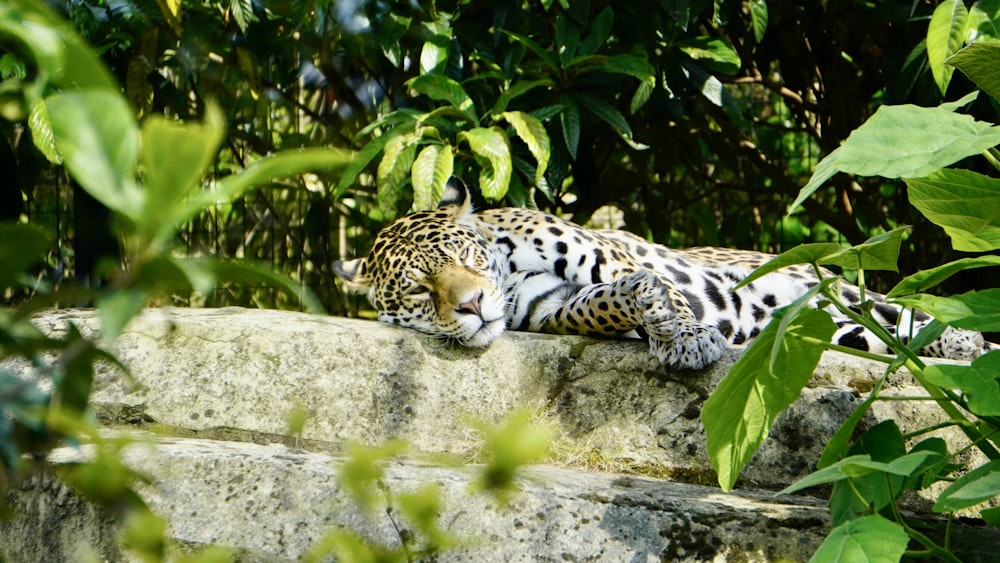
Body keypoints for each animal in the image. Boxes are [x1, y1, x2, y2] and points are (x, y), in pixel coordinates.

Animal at [332, 177, 988, 370]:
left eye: (464, 261)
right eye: (421, 290)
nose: (472, 305)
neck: (507, 269)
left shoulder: (611, 256)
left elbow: (656, 287)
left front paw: (689, 336)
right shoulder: (554, 309)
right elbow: (613, 300)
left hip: (829, 287)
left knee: (904, 314)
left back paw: (965, 342)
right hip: (829, 323)